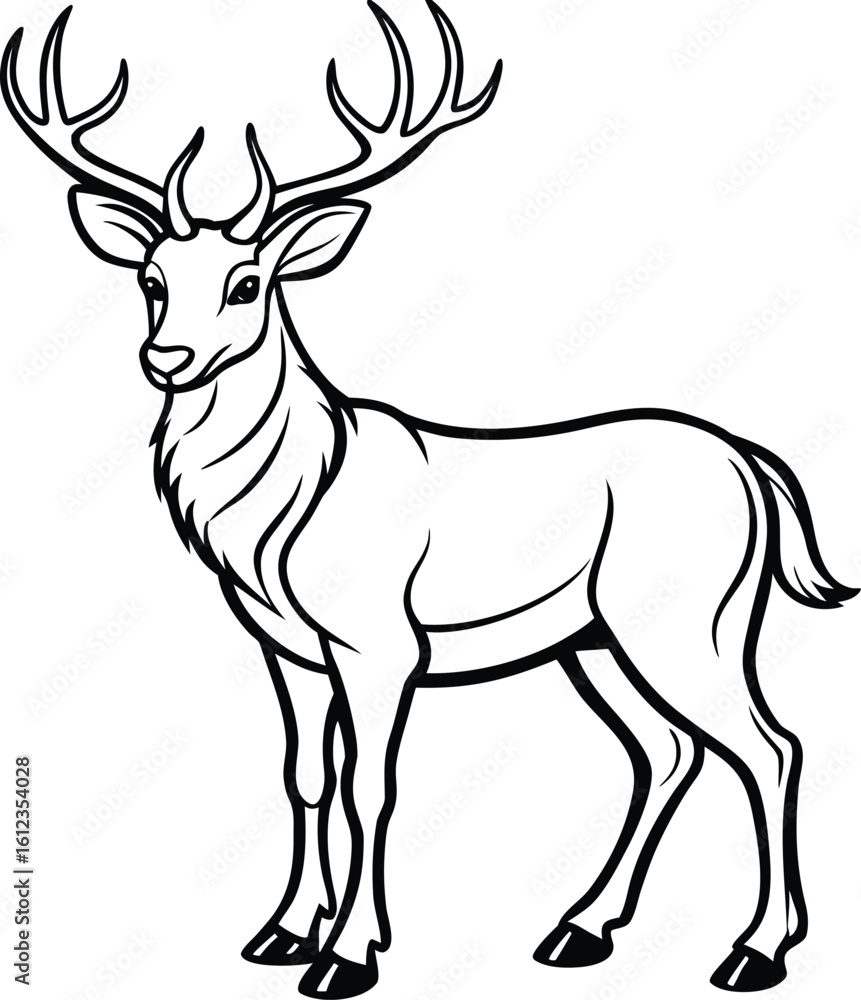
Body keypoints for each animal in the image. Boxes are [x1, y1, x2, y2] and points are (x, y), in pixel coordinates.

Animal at [3, 4, 855, 997]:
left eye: (248, 283)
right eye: (151, 279)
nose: (166, 358)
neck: (284, 513)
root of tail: (755, 466)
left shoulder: (379, 643)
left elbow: (372, 785)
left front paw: (347, 954)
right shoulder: (286, 648)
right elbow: (305, 776)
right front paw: (282, 931)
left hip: (694, 617)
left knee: (770, 744)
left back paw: (754, 951)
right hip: (596, 638)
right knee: (666, 750)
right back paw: (579, 928)